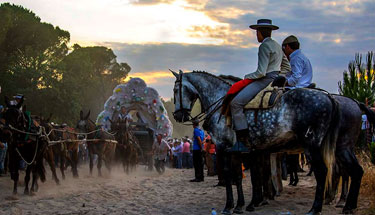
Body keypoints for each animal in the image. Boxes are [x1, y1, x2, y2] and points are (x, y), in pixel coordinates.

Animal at [173, 69, 352, 214]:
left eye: (175, 90)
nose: (177, 115)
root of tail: (328, 97)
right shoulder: (238, 150)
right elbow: (239, 176)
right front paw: (240, 205)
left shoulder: (223, 147)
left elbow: (230, 174)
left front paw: (229, 206)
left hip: (312, 146)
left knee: (322, 171)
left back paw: (315, 208)